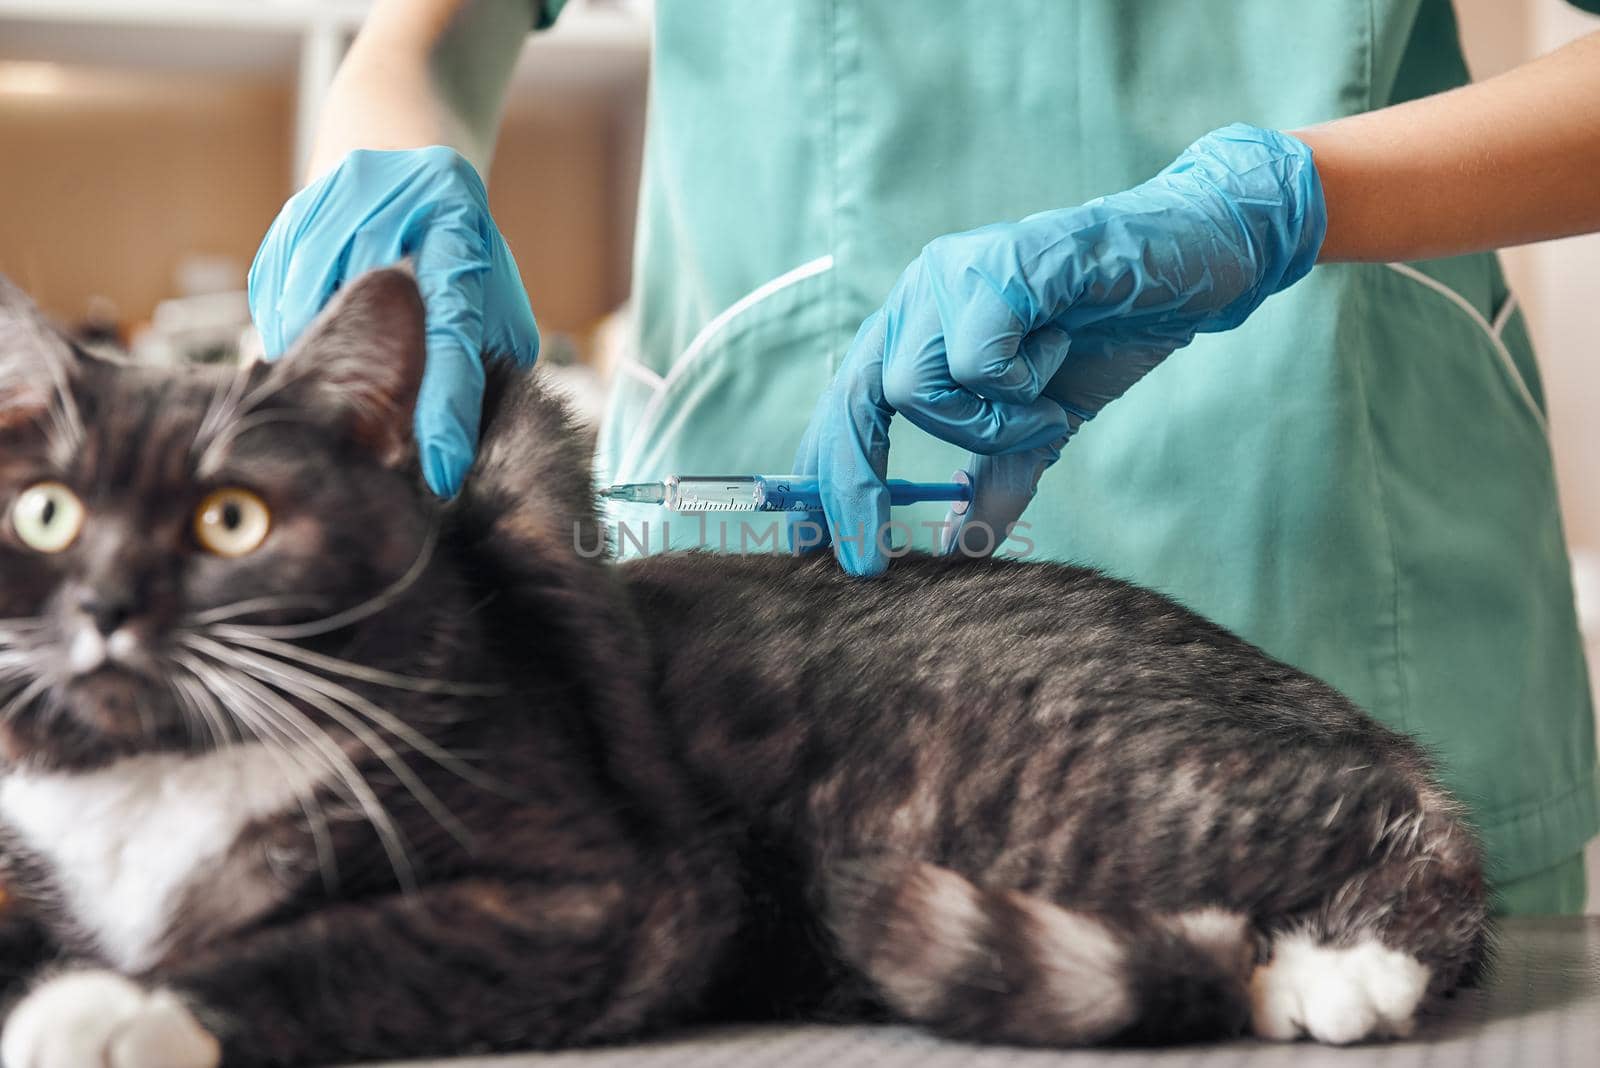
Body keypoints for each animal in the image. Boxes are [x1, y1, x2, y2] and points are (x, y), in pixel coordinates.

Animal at [0, 268, 1484, 1068]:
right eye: (47, 514)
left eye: (230, 519)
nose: (108, 606)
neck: (143, 787)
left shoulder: (609, 899)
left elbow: (329, 945)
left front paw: (113, 1008)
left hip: (1051, 787)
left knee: (1399, 836)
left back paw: (1336, 973)